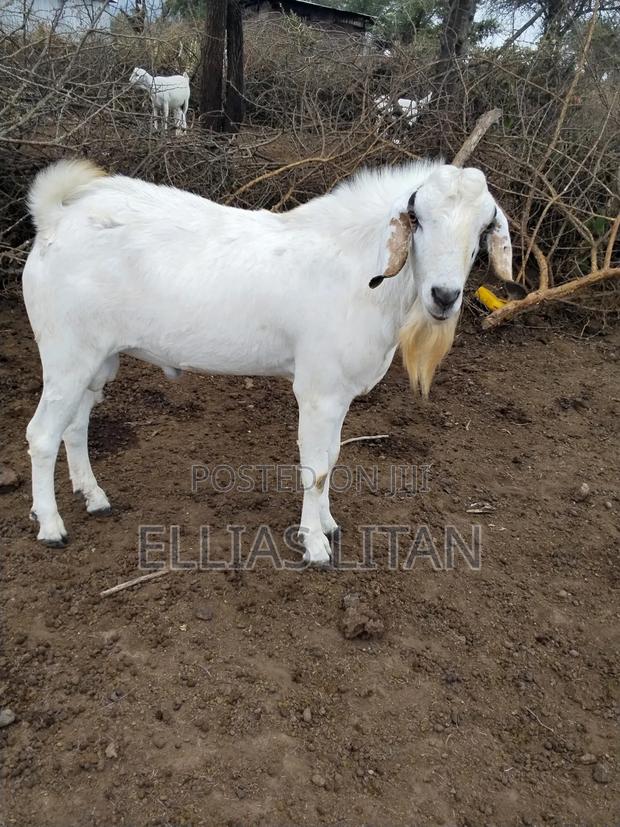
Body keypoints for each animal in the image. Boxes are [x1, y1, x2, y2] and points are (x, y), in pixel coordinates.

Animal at [23, 159, 514, 564]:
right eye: (419, 220)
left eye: (481, 231)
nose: (444, 295)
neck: (361, 272)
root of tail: (54, 220)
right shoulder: (318, 390)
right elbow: (316, 468)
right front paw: (314, 545)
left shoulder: (339, 394)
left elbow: (333, 457)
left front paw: (328, 525)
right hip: (66, 352)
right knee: (42, 434)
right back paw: (51, 525)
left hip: (98, 359)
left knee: (76, 424)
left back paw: (94, 496)